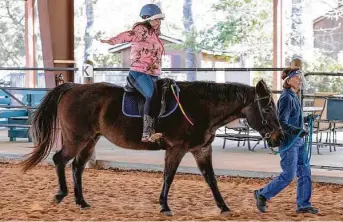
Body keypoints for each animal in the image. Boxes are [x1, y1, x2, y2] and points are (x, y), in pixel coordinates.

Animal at [22, 79, 284, 216]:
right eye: (267, 108)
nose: (279, 137)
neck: (200, 107)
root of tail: (73, 87)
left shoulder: (201, 150)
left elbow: (211, 179)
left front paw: (224, 207)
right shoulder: (177, 149)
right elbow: (169, 176)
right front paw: (165, 206)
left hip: (90, 139)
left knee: (77, 166)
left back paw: (82, 202)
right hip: (76, 138)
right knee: (60, 160)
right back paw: (61, 195)